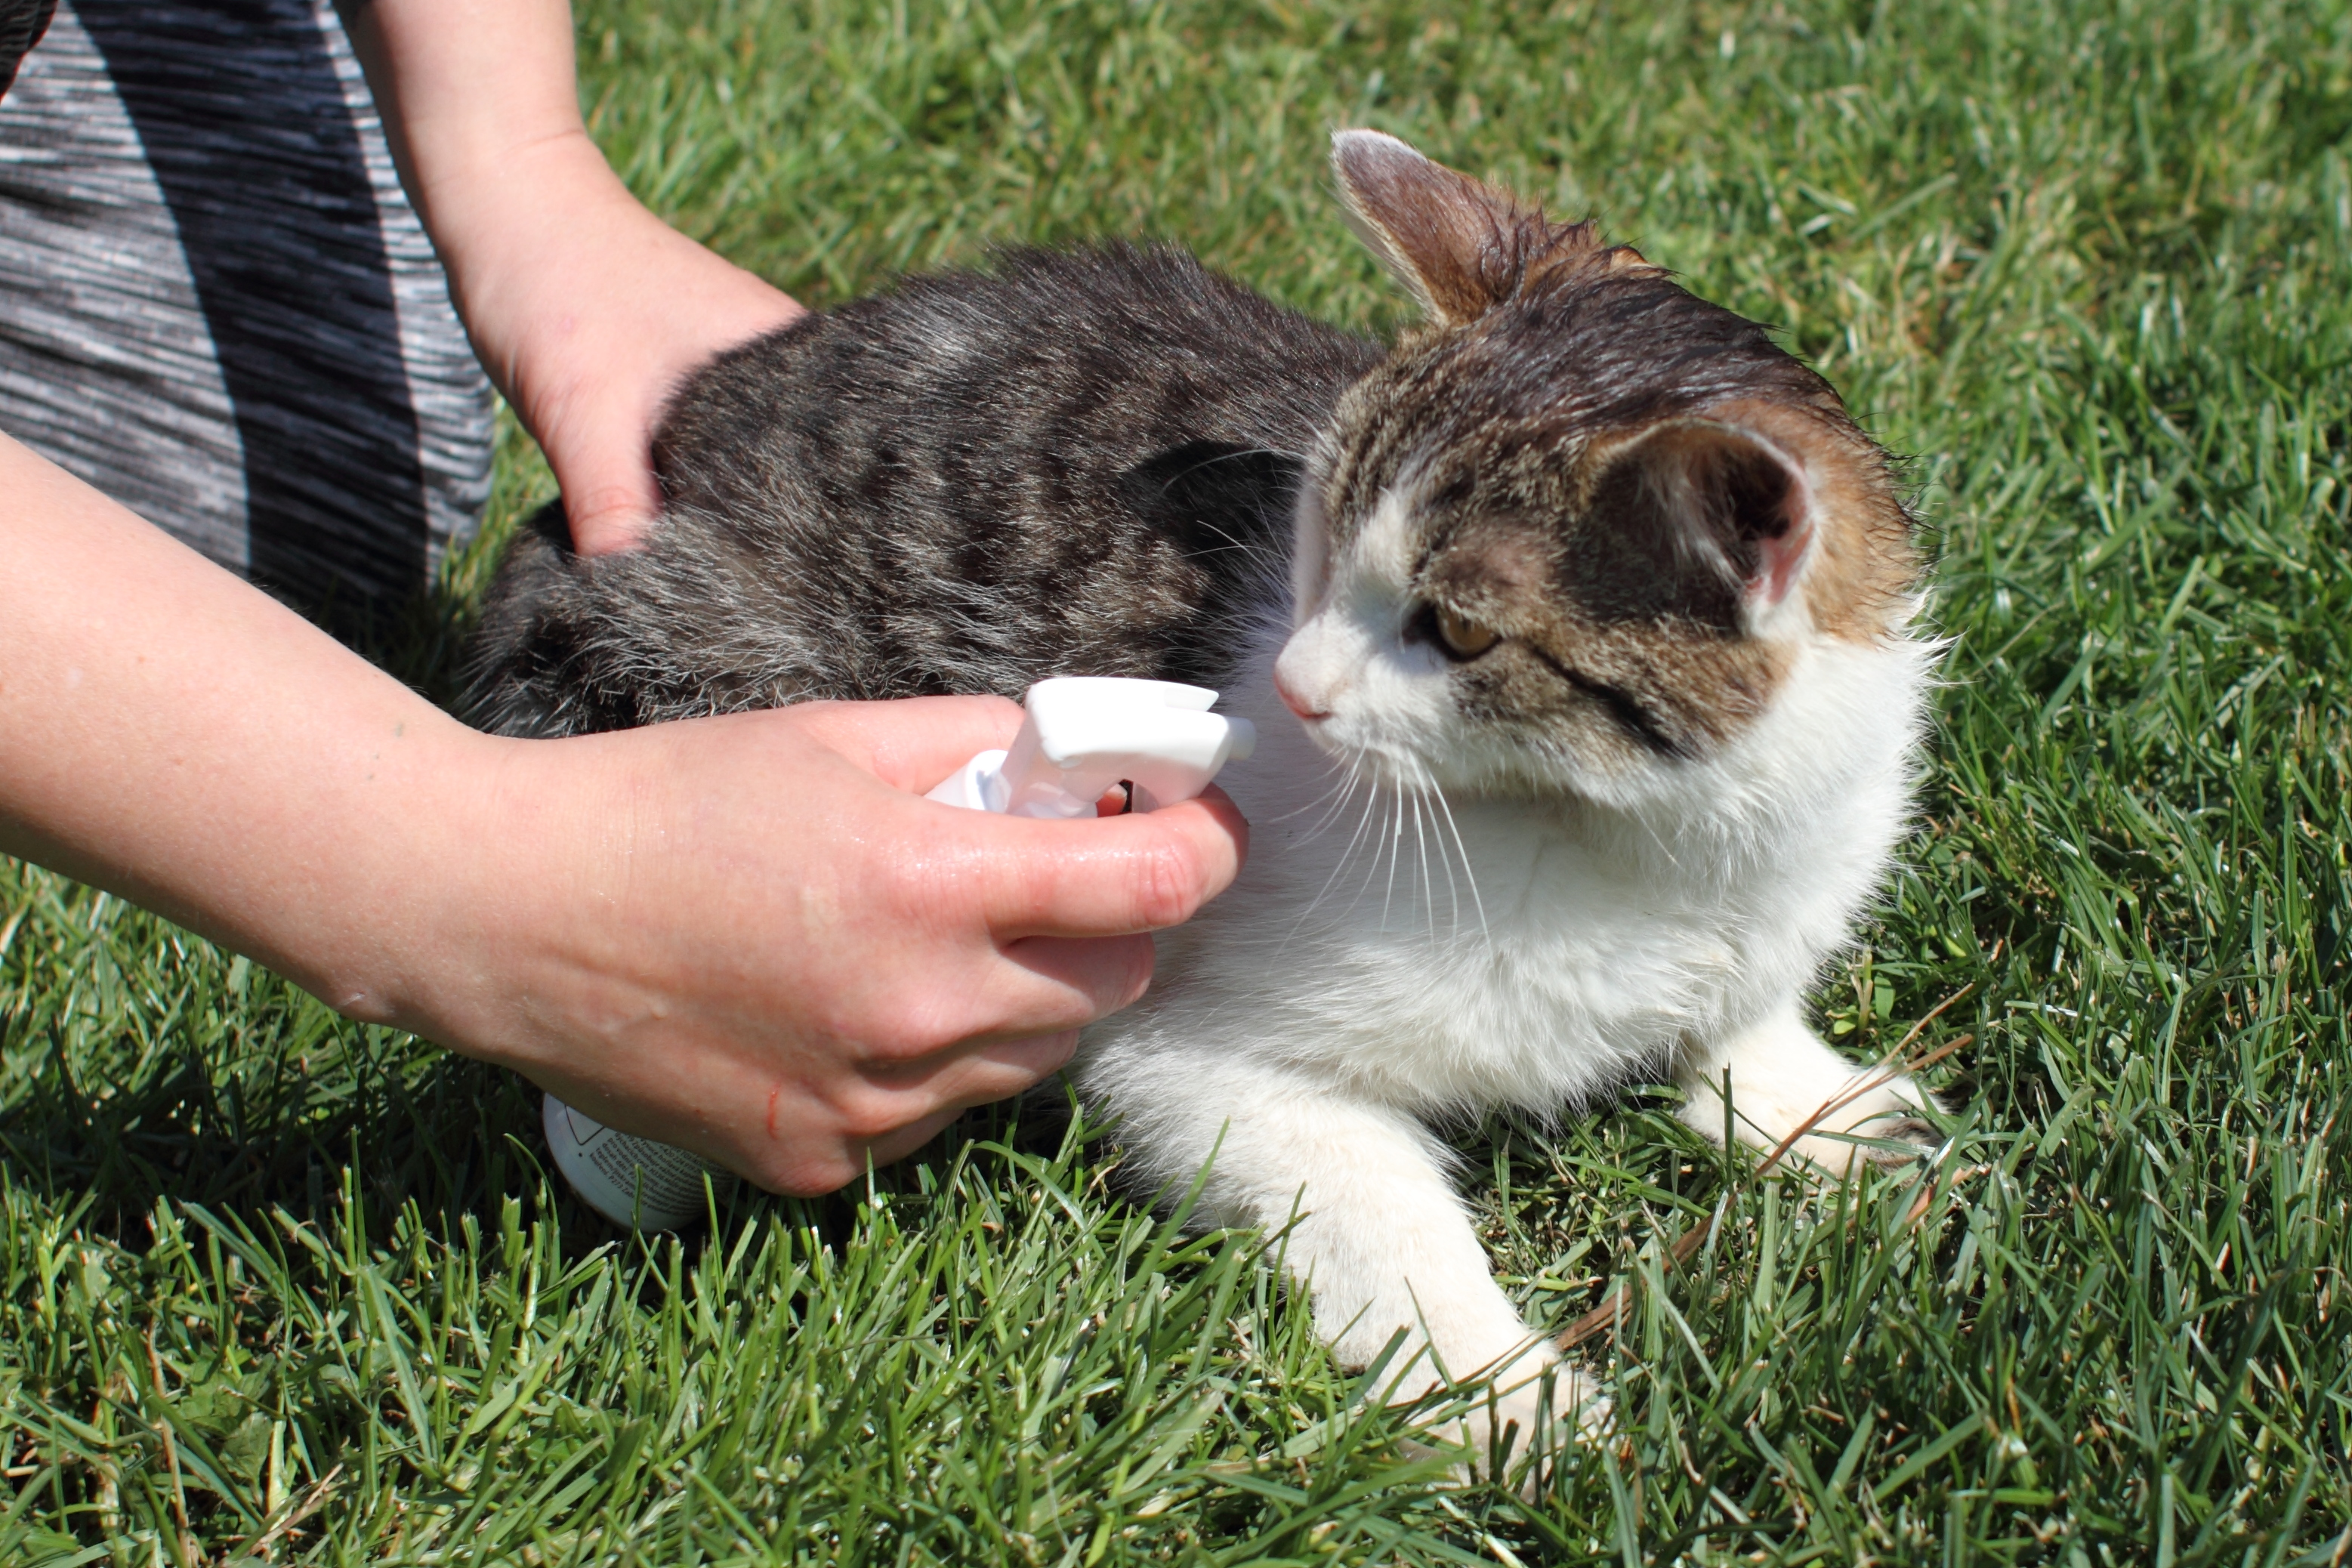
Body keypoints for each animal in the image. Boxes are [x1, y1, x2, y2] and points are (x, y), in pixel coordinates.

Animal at [468, 128, 1937, 1467]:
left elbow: (1740, 1014)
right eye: (1315, 537)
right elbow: (1384, 1222)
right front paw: (1501, 1394)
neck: (1629, 837)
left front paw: (1801, 1102)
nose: (1290, 686)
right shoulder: (1199, 1060)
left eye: (1459, 633)